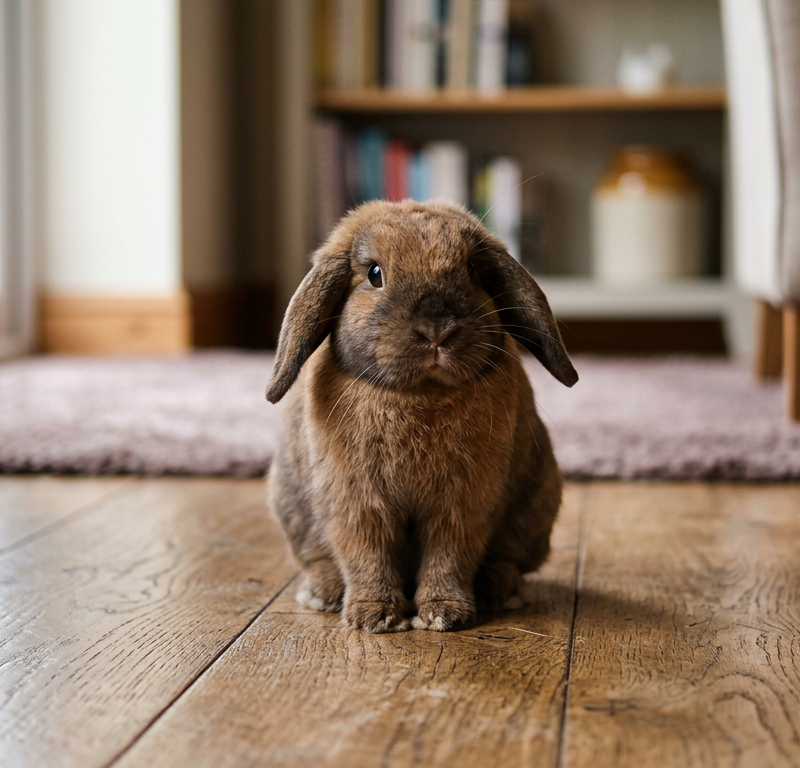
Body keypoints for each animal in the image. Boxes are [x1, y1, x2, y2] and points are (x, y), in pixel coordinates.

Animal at [265, 199, 578, 633]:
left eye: (472, 269)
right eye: (374, 273)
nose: (436, 331)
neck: (420, 394)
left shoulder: (462, 505)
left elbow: (449, 557)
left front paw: (443, 614)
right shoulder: (357, 504)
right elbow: (367, 557)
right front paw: (373, 617)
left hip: (535, 508)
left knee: (509, 560)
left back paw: (499, 591)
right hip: (292, 506)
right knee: (320, 558)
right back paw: (323, 593)